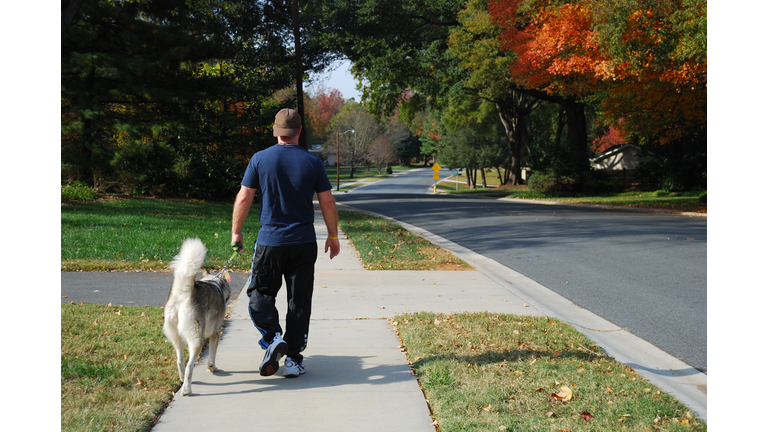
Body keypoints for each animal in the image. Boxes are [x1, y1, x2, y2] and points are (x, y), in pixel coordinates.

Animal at [164, 238, 230, 396]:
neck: (214, 282)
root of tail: (185, 292)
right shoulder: (215, 333)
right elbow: (212, 355)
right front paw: (212, 368)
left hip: (176, 337)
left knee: (180, 360)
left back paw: (182, 380)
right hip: (196, 339)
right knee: (189, 365)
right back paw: (187, 389)